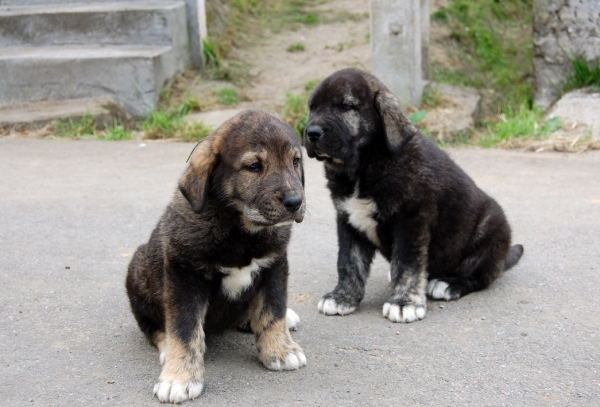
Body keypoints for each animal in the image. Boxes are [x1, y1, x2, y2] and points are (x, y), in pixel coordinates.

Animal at [125, 109, 308, 404]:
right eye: (254, 166)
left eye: (295, 162)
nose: (295, 202)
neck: (240, 231)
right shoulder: (184, 276)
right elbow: (183, 329)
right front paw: (179, 378)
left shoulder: (275, 265)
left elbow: (273, 310)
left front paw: (280, 350)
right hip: (137, 271)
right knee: (153, 327)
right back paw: (166, 348)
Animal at [302, 69, 524, 326]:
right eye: (312, 107)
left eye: (346, 106)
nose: (311, 133)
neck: (364, 166)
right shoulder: (348, 220)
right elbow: (349, 262)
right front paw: (342, 297)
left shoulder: (411, 220)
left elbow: (407, 263)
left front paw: (404, 302)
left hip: (490, 228)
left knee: (480, 276)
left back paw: (449, 284)